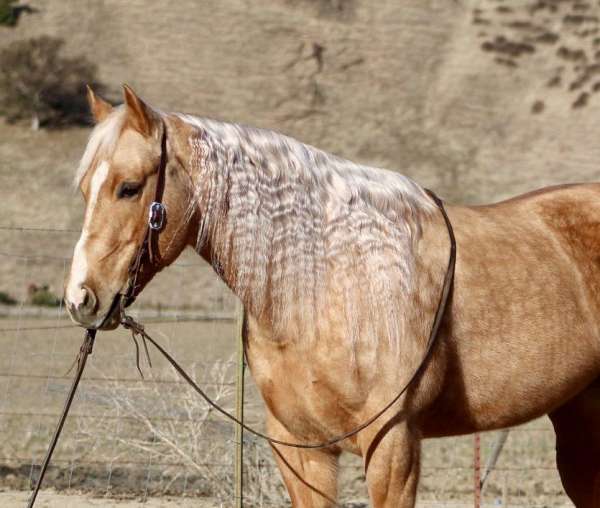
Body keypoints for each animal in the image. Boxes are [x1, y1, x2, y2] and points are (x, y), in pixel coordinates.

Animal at [64, 85, 600, 506]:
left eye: (129, 187)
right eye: (85, 188)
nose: (80, 299)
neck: (331, 282)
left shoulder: (393, 446)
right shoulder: (299, 448)